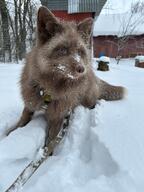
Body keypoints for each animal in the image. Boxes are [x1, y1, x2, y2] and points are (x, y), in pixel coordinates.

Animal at [7, 6, 125, 146]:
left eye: (80, 51)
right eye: (63, 49)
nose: (82, 69)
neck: (48, 92)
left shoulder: (59, 117)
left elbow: (50, 144)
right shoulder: (29, 106)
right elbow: (20, 123)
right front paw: (9, 134)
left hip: (86, 100)